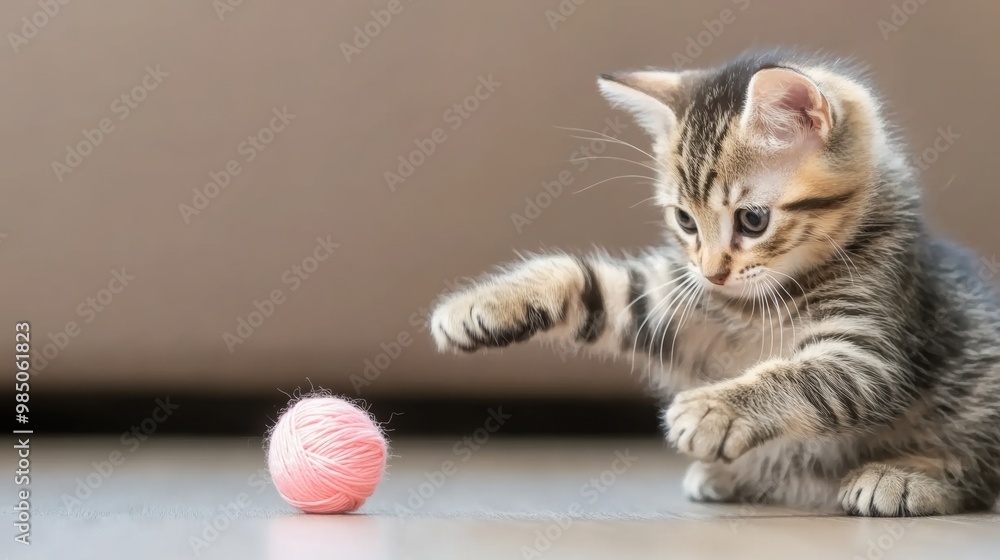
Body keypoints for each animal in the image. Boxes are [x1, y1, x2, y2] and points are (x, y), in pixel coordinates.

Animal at [428, 49, 1000, 516]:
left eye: (752, 220)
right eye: (685, 221)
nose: (712, 271)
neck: (757, 302)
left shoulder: (871, 345)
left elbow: (806, 375)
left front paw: (714, 409)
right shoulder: (675, 307)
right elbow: (594, 284)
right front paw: (480, 307)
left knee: (980, 464)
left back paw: (905, 476)